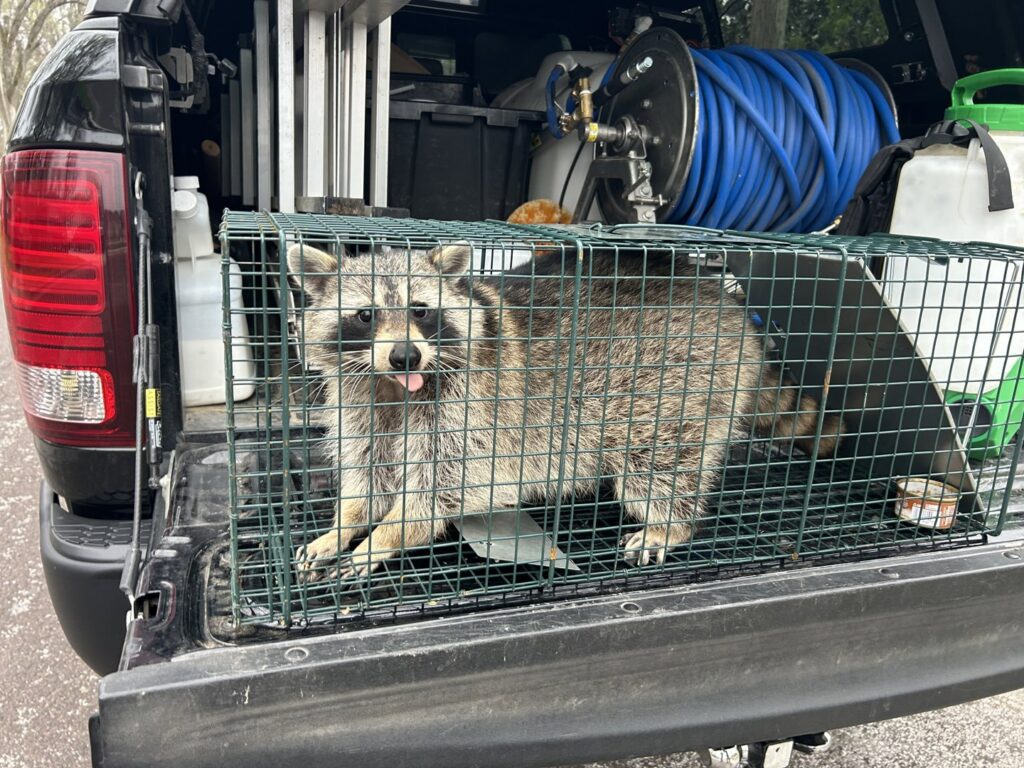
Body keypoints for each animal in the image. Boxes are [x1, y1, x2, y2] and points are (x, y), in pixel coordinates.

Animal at [287, 241, 839, 581]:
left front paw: (387, 535)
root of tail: (730, 311)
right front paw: (343, 526)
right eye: (366, 314)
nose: (406, 356)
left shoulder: (467, 408)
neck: (394, 386)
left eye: (421, 311)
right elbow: (370, 474)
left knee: (660, 465)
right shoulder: (362, 401)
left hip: (682, 383)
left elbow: (441, 486)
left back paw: (669, 523)